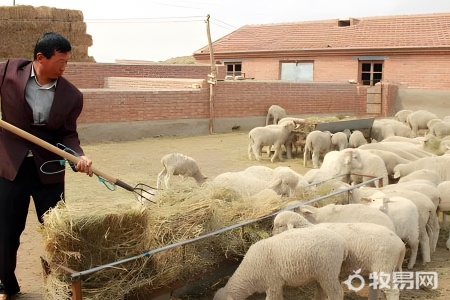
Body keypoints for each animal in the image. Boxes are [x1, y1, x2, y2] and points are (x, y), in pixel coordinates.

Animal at [213, 225, 346, 298]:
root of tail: (341, 241)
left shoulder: (273, 283)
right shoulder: (274, 285)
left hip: (328, 272)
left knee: (337, 293)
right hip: (320, 274)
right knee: (321, 291)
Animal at [272, 211, 406, 300]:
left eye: (280, 225)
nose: (271, 235)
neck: (307, 227)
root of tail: (401, 245)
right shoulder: (320, 272)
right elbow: (319, 293)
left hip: (383, 265)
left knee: (393, 291)